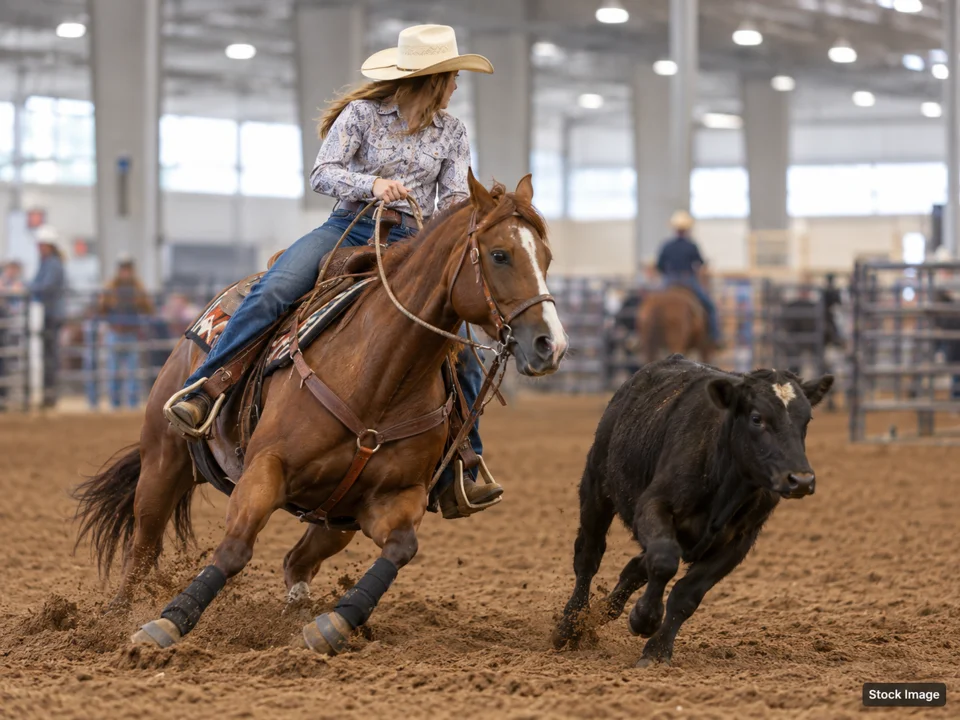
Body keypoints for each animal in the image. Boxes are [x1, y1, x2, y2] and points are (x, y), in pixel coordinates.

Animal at [74, 171, 567, 654]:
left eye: (546, 257)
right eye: (500, 255)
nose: (552, 345)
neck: (379, 377)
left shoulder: (393, 497)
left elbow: (401, 548)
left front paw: (332, 624)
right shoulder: (266, 468)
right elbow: (235, 548)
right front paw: (167, 624)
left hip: (333, 519)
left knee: (297, 562)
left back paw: (297, 615)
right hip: (163, 462)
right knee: (142, 551)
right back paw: (114, 621)